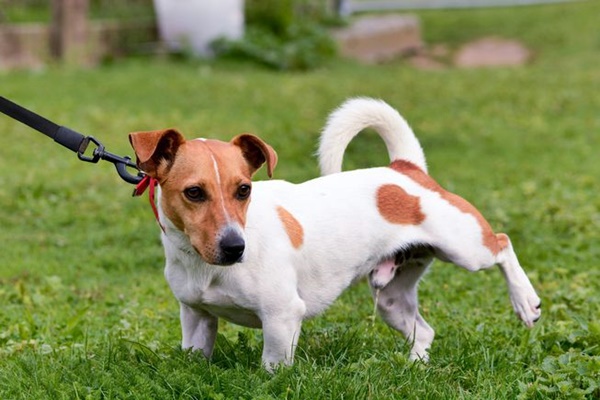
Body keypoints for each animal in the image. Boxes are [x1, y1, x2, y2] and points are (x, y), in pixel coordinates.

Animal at [129, 97, 540, 368]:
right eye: (194, 193)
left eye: (244, 189)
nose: (235, 247)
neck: (204, 266)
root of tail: (404, 169)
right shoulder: (196, 317)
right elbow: (195, 356)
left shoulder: (282, 317)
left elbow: (273, 367)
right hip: (392, 299)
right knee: (423, 332)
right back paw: (415, 368)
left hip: (465, 248)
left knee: (503, 244)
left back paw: (525, 300)